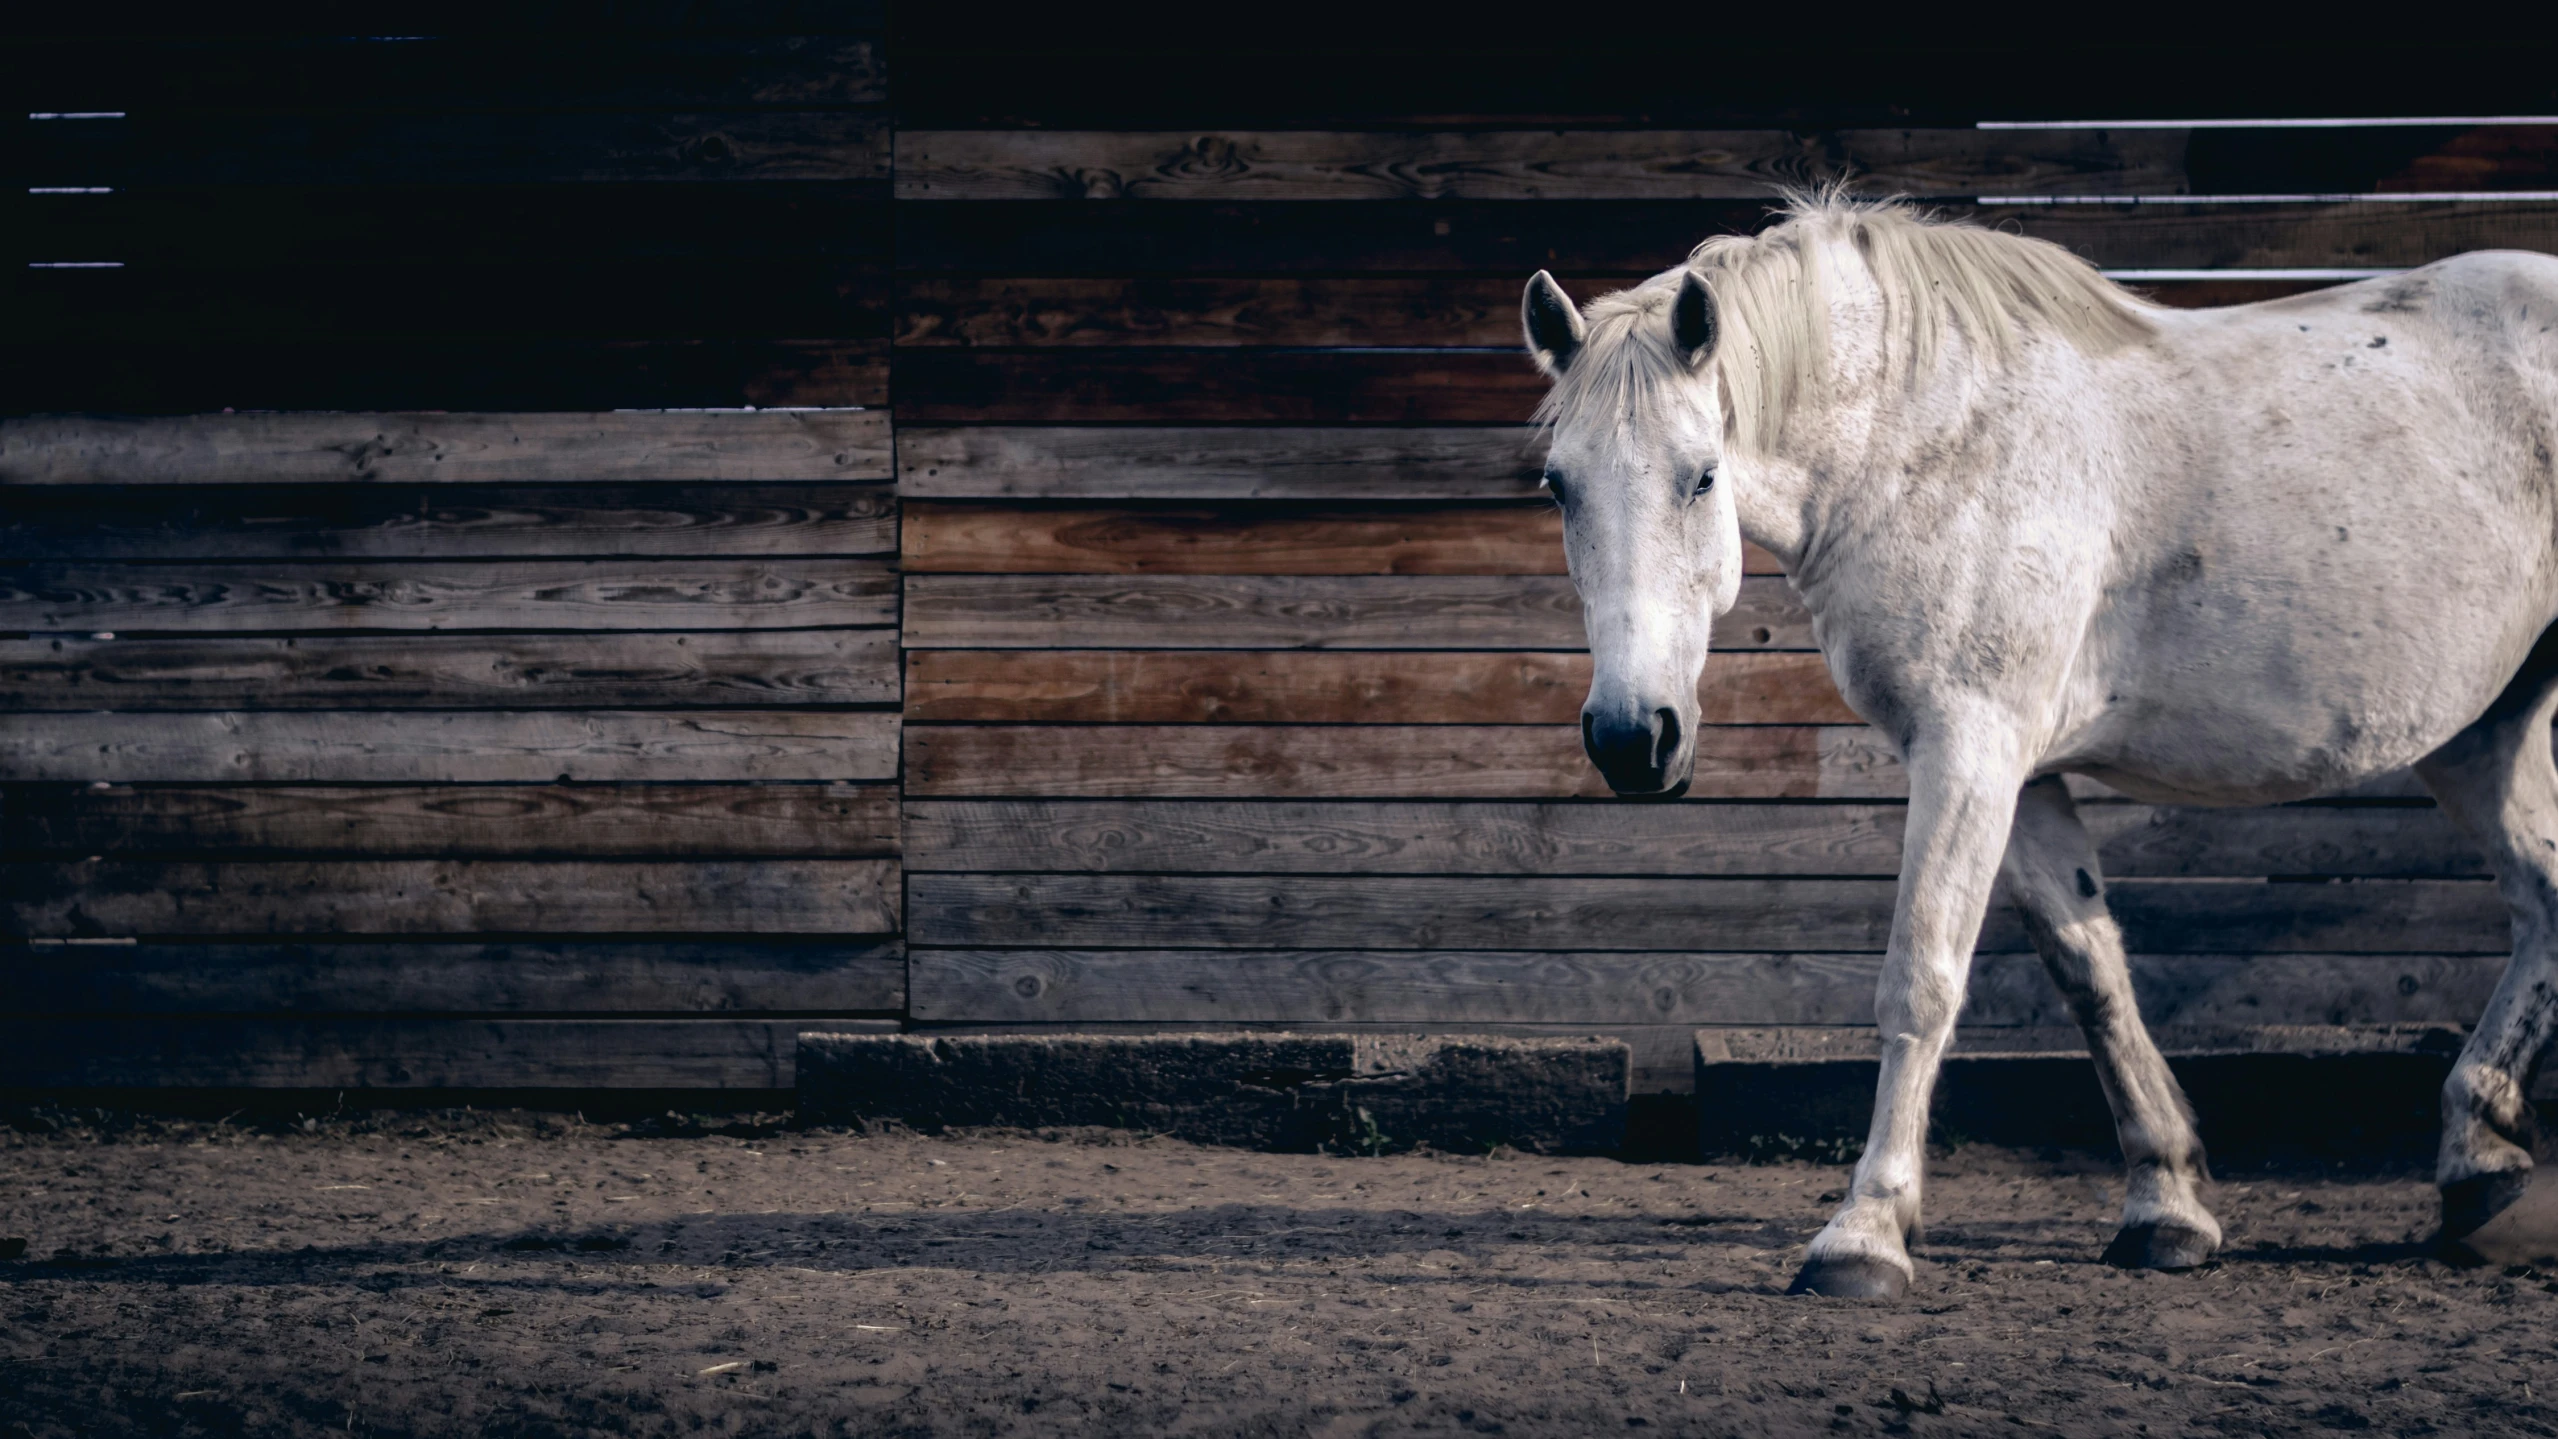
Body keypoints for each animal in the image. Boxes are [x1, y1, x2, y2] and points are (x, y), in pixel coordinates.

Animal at [1524, 191, 2547, 1293]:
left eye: (1702, 475)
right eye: (1557, 486)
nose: (1632, 737)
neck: (1931, 441)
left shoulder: (1969, 749)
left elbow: (1923, 975)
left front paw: (1865, 1231)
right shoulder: (2021, 774)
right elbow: (2090, 972)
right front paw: (2166, 1207)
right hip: (2481, 733)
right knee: (2542, 898)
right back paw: (2477, 1160)